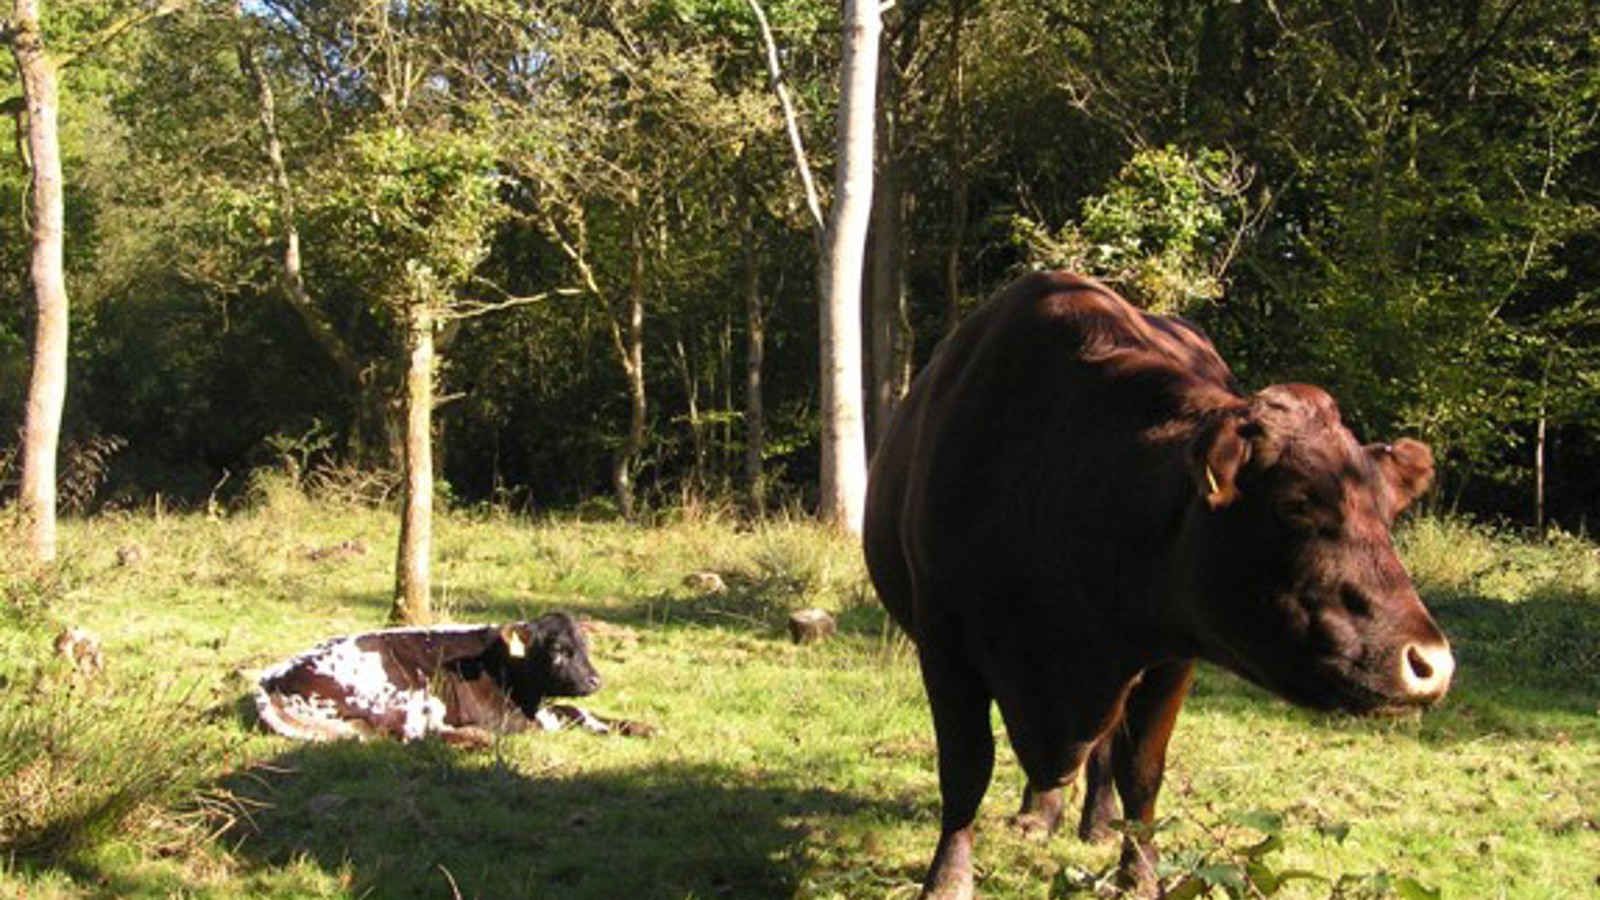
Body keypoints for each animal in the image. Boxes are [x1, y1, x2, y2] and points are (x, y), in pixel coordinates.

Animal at [255, 612, 645, 747]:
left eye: (584, 646)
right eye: (558, 650)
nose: (595, 681)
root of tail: (270, 675)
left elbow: (578, 712)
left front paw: (637, 726)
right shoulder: (502, 716)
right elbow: (555, 723)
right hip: (402, 695)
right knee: (412, 735)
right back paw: (476, 739)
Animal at [863, 272, 1454, 899]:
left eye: (1388, 510)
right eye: (1296, 504)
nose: (1431, 663)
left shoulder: (1170, 650)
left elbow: (1141, 771)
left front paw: (1139, 873)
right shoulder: (943, 638)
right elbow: (966, 766)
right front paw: (948, 878)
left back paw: (1097, 823)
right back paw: (1039, 814)